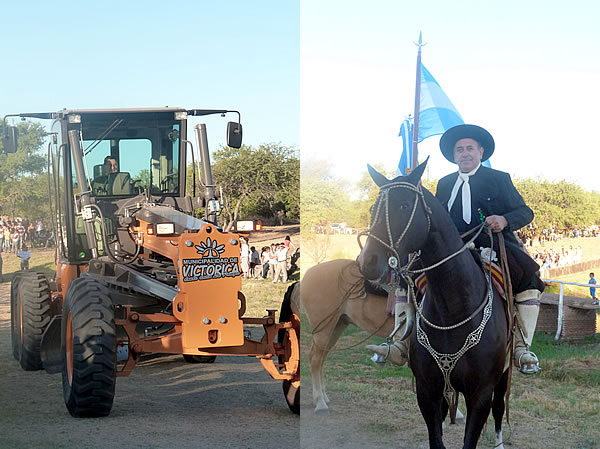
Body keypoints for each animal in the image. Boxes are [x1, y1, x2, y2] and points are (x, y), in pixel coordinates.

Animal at [298, 260, 394, 412]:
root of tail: (309, 272)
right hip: (324, 330)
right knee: (315, 359)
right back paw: (320, 402)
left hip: (335, 329)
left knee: (321, 359)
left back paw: (323, 397)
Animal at [358, 160, 508, 448]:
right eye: (372, 209)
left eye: (405, 205)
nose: (368, 261)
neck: (453, 310)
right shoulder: (427, 391)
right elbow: (436, 439)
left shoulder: (481, 394)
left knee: (499, 409)